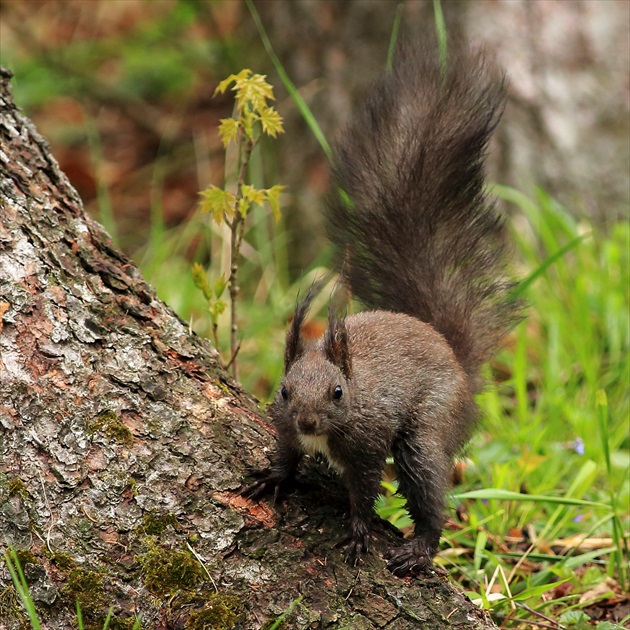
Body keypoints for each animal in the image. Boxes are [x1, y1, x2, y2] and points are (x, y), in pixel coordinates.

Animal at [244, 37, 524, 576]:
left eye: (336, 392)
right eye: (285, 391)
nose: (309, 423)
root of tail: (458, 364)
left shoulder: (368, 443)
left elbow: (366, 489)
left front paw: (357, 531)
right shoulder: (284, 427)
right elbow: (286, 455)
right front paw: (274, 476)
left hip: (428, 429)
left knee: (430, 490)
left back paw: (420, 547)